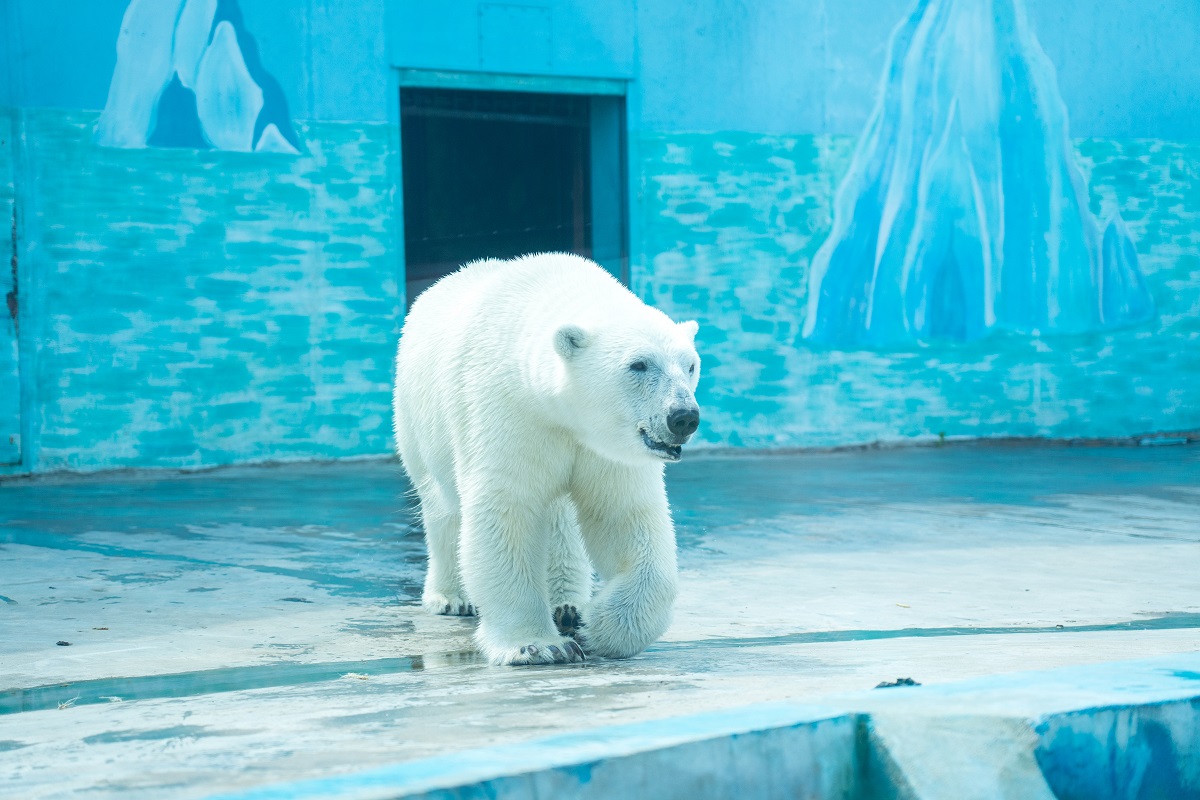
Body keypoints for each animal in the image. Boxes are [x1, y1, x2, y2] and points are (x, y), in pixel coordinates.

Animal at [393, 253, 700, 666]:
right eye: (638, 364)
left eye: (690, 365)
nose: (683, 416)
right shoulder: (507, 412)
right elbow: (505, 511)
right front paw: (537, 645)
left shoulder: (605, 448)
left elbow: (623, 515)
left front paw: (594, 629)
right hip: (418, 423)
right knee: (441, 507)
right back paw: (451, 597)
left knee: (560, 519)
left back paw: (567, 607)